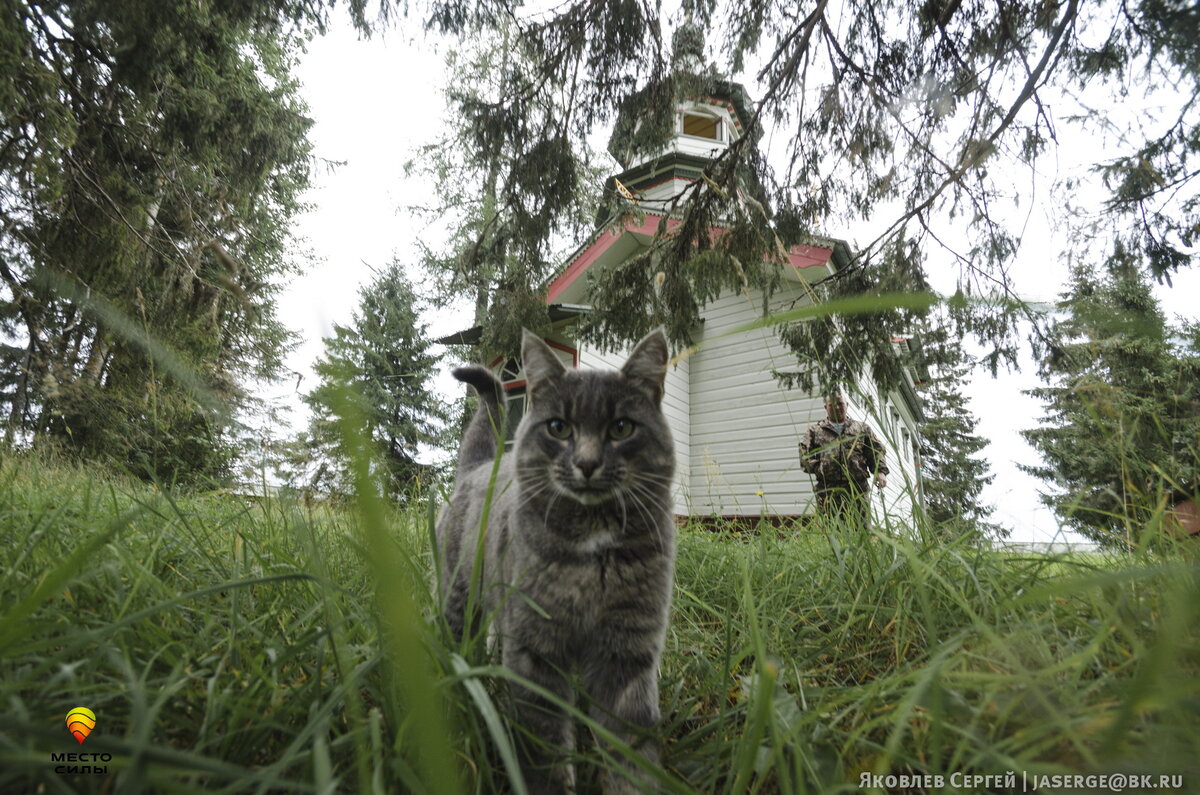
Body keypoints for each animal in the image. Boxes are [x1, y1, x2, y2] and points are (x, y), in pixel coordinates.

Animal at [436, 329, 676, 792]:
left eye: (621, 427)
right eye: (558, 427)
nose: (587, 463)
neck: (594, 548)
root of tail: (478, 467)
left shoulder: (628, 652)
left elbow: (631, 750)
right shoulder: (536, 651)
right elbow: (545, 748)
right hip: (459, 597)